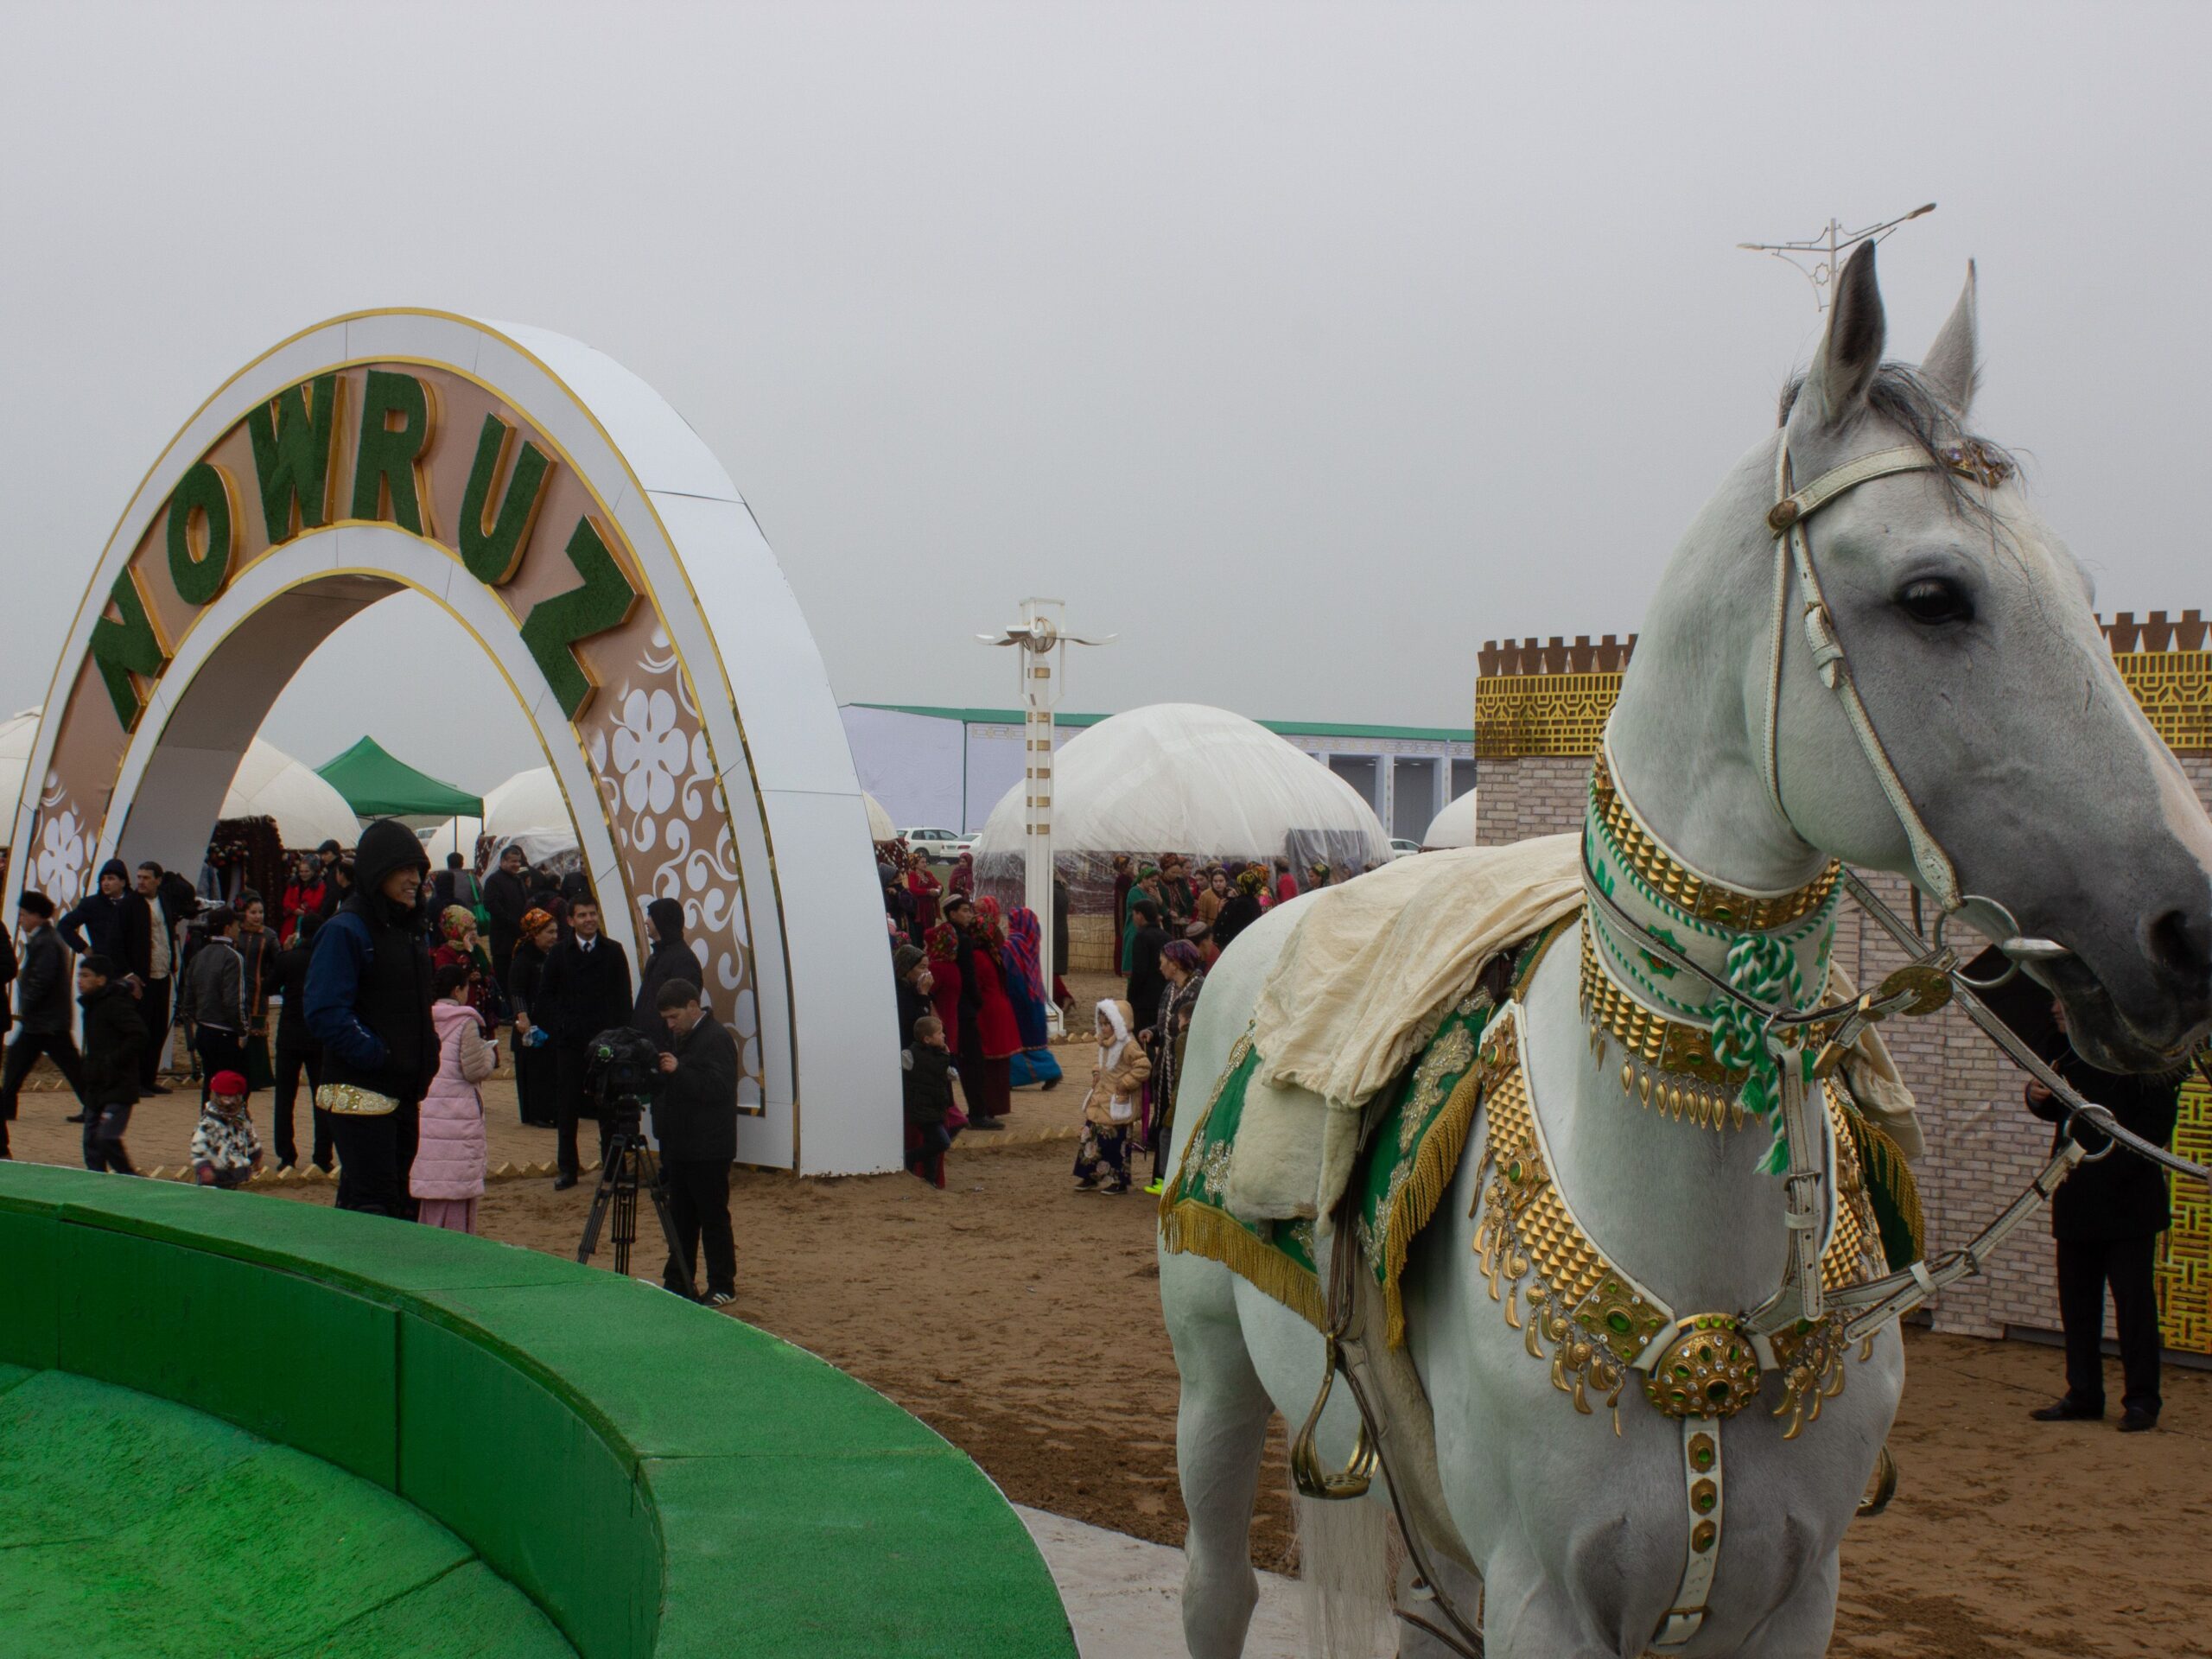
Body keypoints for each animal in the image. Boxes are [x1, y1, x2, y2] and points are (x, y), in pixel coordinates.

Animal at [1159, 246, 2212, 1659]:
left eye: (2093, 602)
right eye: (1934, 597)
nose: (2190, 927)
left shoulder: (1791, 1596)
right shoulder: (1545, 1603)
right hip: (1214, 1378)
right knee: (1213, 1584)